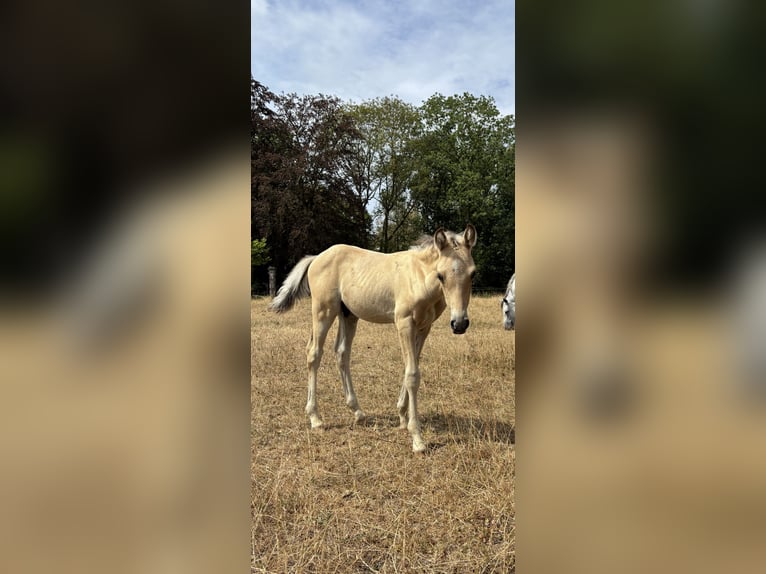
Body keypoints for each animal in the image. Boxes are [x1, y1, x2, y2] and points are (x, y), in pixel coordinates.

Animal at [269, 225, 477, 452]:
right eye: (441, 275)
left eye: (473, 274)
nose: (459, 324)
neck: (419, 277)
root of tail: (317, 257)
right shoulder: (404, 323)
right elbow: (413, 375)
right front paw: (417, 438)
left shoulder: (424, 327)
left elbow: (410, 367)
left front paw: (402, 416)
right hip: (323, 311)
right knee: (314, 353)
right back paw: (315, 418)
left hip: (348, 315)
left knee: (341, 353)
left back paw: (358, 412)